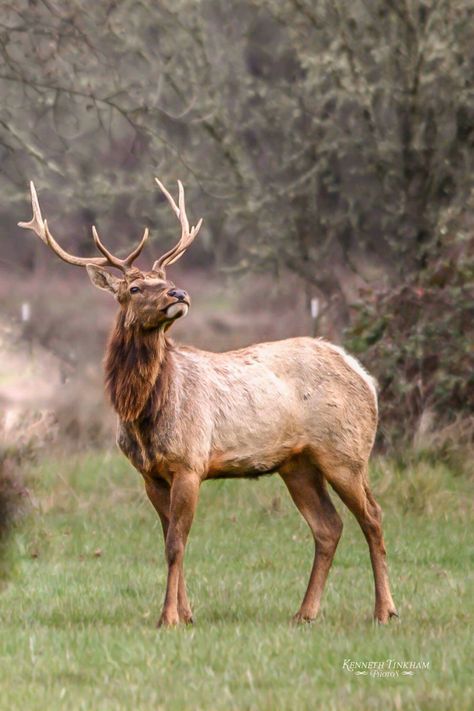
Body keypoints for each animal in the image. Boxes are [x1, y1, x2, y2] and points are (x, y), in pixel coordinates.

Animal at [18, 179, 396, 628]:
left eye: (165, 277)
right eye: (133, 288)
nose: (179, 292)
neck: (143, 415)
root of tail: (365, 377)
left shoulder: (190, 462)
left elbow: (175, 544)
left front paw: (168, 617)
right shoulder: (150, 474)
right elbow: (169, 540)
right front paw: (187, 614)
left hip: (345, 451)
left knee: (372, 517)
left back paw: (385, 610)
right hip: (298, 463)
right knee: (328, 526)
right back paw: (305, 613)